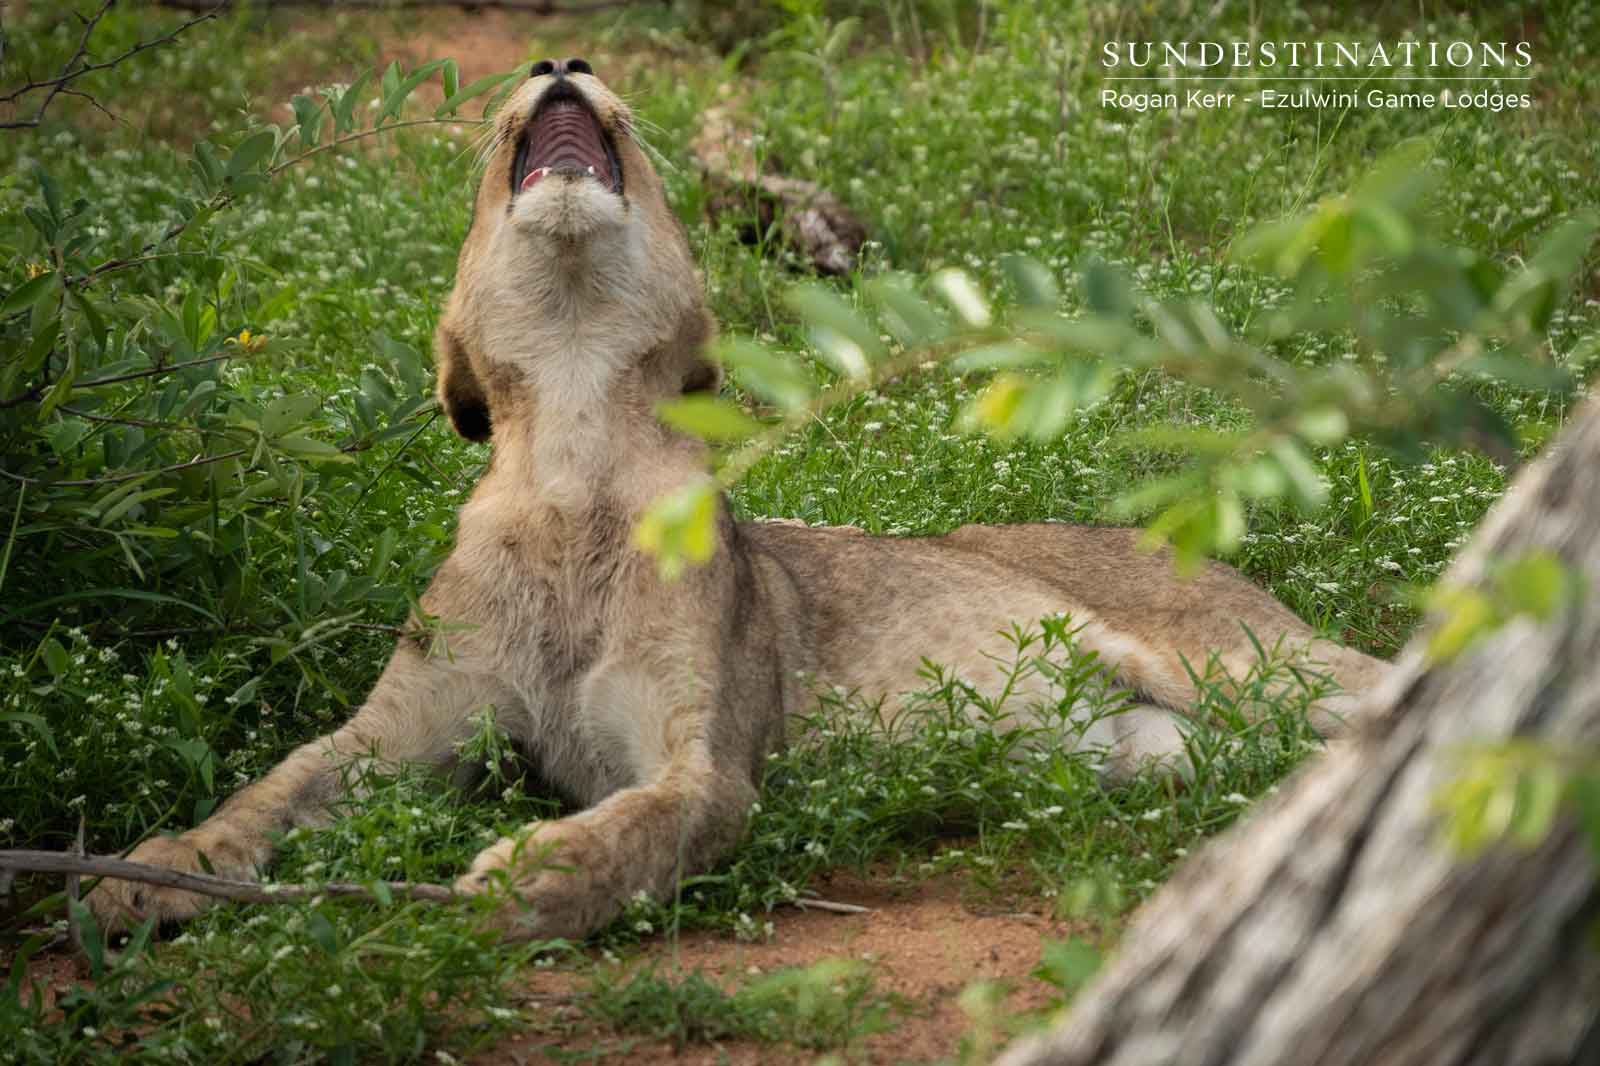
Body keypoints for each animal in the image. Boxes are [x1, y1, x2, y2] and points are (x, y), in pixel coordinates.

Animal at [89, 58, 1390, 940]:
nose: (557, 61)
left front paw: (518, 880)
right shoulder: (399, 734)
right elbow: (270, 790)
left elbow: (637, 829)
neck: (572, 449)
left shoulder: (705, 764)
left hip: (1248, 663)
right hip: (1182, 745)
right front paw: (138, 876)